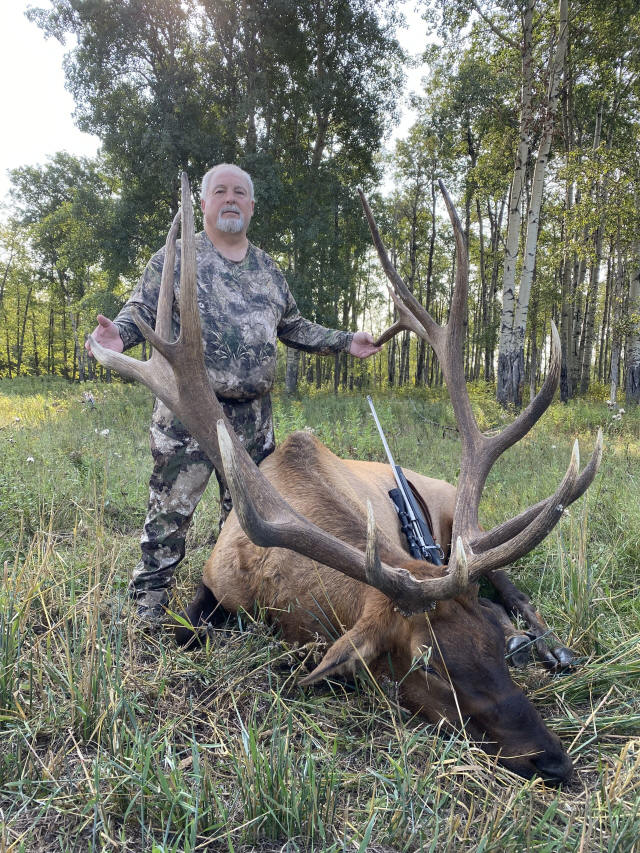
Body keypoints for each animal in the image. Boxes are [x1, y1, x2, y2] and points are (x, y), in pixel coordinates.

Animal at [90, 174, 602, 783]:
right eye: (429, 664)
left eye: (494, 646)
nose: (553, 759)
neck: (277, 594)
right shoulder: (212, 584)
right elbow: (186, 628)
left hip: (459, 526)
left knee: (516, 590)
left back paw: (551, 646)